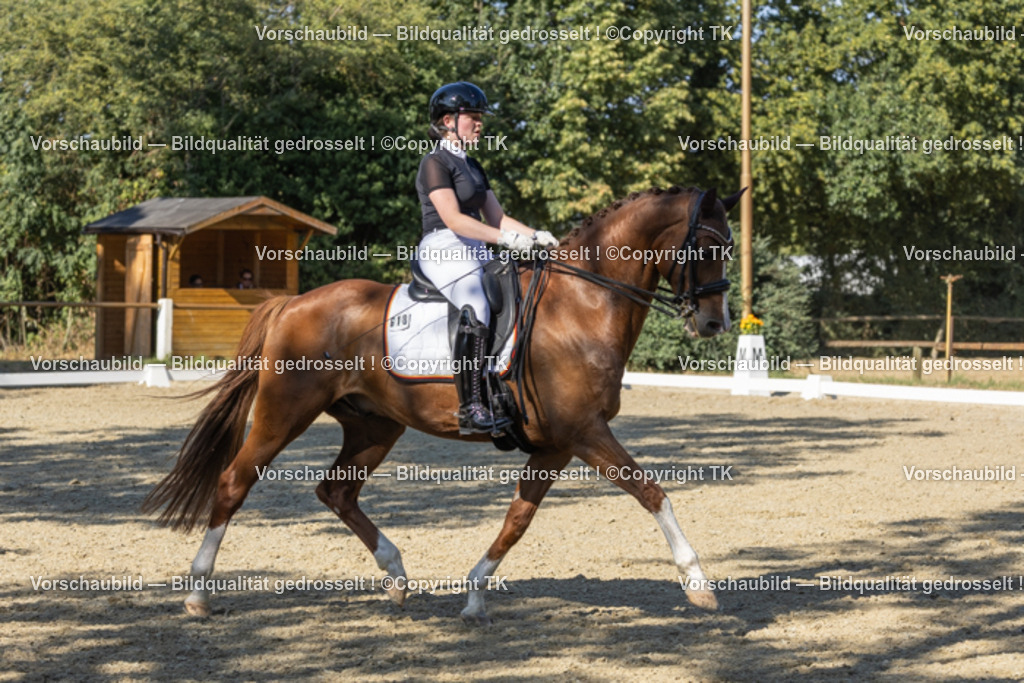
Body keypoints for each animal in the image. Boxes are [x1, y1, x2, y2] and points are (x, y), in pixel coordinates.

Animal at [143, 185, 742, 625]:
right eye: (706, 248)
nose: (715, 324)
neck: (582, 304)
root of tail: (293, 302)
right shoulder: (585, 432)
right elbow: (652, 492)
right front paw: (698, 583)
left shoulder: (556, 444)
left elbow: (518, 518)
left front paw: (475, 595)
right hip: (283, 412)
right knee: (234, 481)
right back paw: (197, 594)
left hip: (375, 427)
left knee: (336, 491)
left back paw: (397, 578)